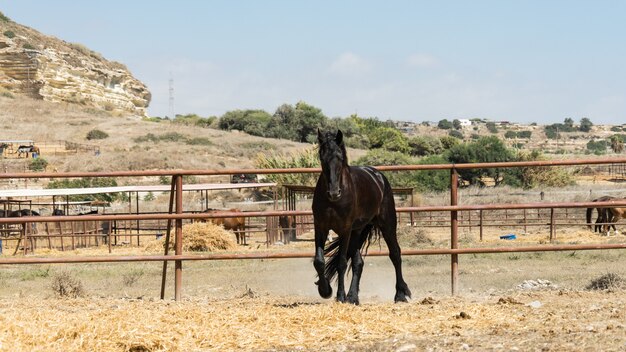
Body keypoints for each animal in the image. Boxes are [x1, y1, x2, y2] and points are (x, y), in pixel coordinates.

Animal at [312, 130, 410, 306]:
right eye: (322, 158)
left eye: (340, 157)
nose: (334, 193)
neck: (334, 202)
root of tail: (378, 176)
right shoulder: (321, 227)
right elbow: (319, 261)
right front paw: (325, 290)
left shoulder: (344, 230)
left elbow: (341, 262)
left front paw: (340, 296)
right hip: (357, 231)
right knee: (358, 262)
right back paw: (353, 297)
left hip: (387, 224)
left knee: (395, 254)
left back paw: (400, 295)